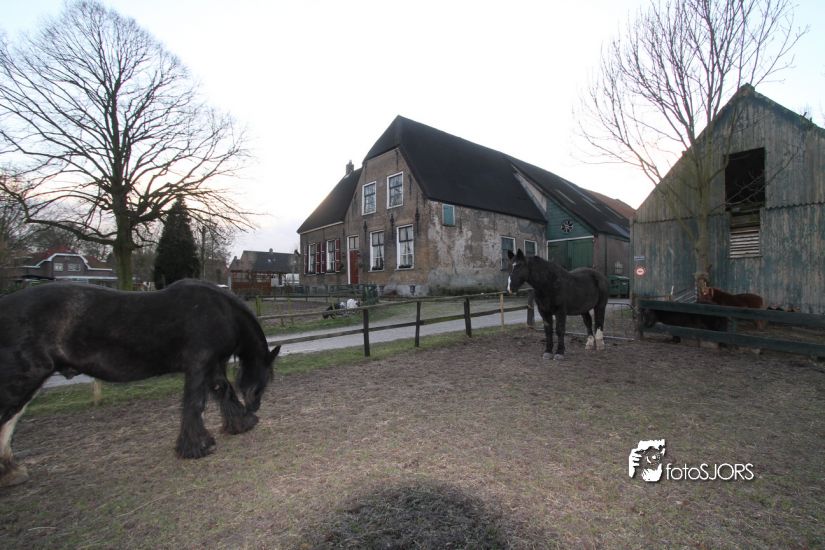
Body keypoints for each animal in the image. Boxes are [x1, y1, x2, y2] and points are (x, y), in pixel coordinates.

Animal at [0, 279, 281, 487]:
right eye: (266, 376)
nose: (255, 406)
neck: (221, 311)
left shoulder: (211, 366)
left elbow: (223, 391)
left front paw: (240, 423)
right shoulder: (199, 365)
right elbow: (195, 404)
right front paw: (197, 446)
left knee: (10, 423)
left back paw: (11, 472)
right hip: (24, 378)